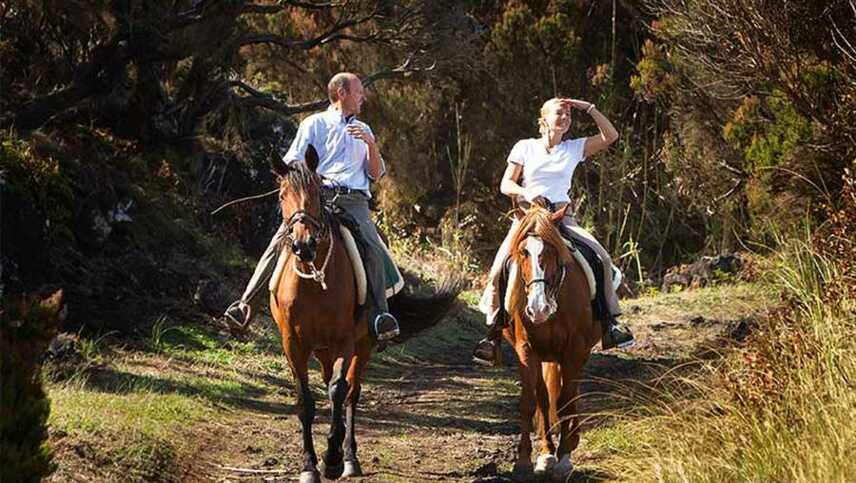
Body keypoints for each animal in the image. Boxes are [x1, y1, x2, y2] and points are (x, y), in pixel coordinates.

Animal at [270, 164, 462, 483]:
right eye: (283, 194)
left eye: (317, 194)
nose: (304, 245)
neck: (315, 282)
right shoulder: (292, 344)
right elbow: (305, 401)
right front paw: (309, 465)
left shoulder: (346, 341)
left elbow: (338, 390)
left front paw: (332, 459)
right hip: (323, 350)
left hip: (362, 346)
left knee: (351, 392)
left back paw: (349, 456)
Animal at [502, 203, 600, 480]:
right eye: (523, 252)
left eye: (552, 251)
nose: (538, 309)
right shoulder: (526, 350)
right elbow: (529, 402)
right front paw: (525, 461)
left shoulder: (574, 349)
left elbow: (566, 401)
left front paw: (565, 459)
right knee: (545, 399)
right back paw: (546, 453)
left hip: (579, 352)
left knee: (571, 393)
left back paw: (571, 440)